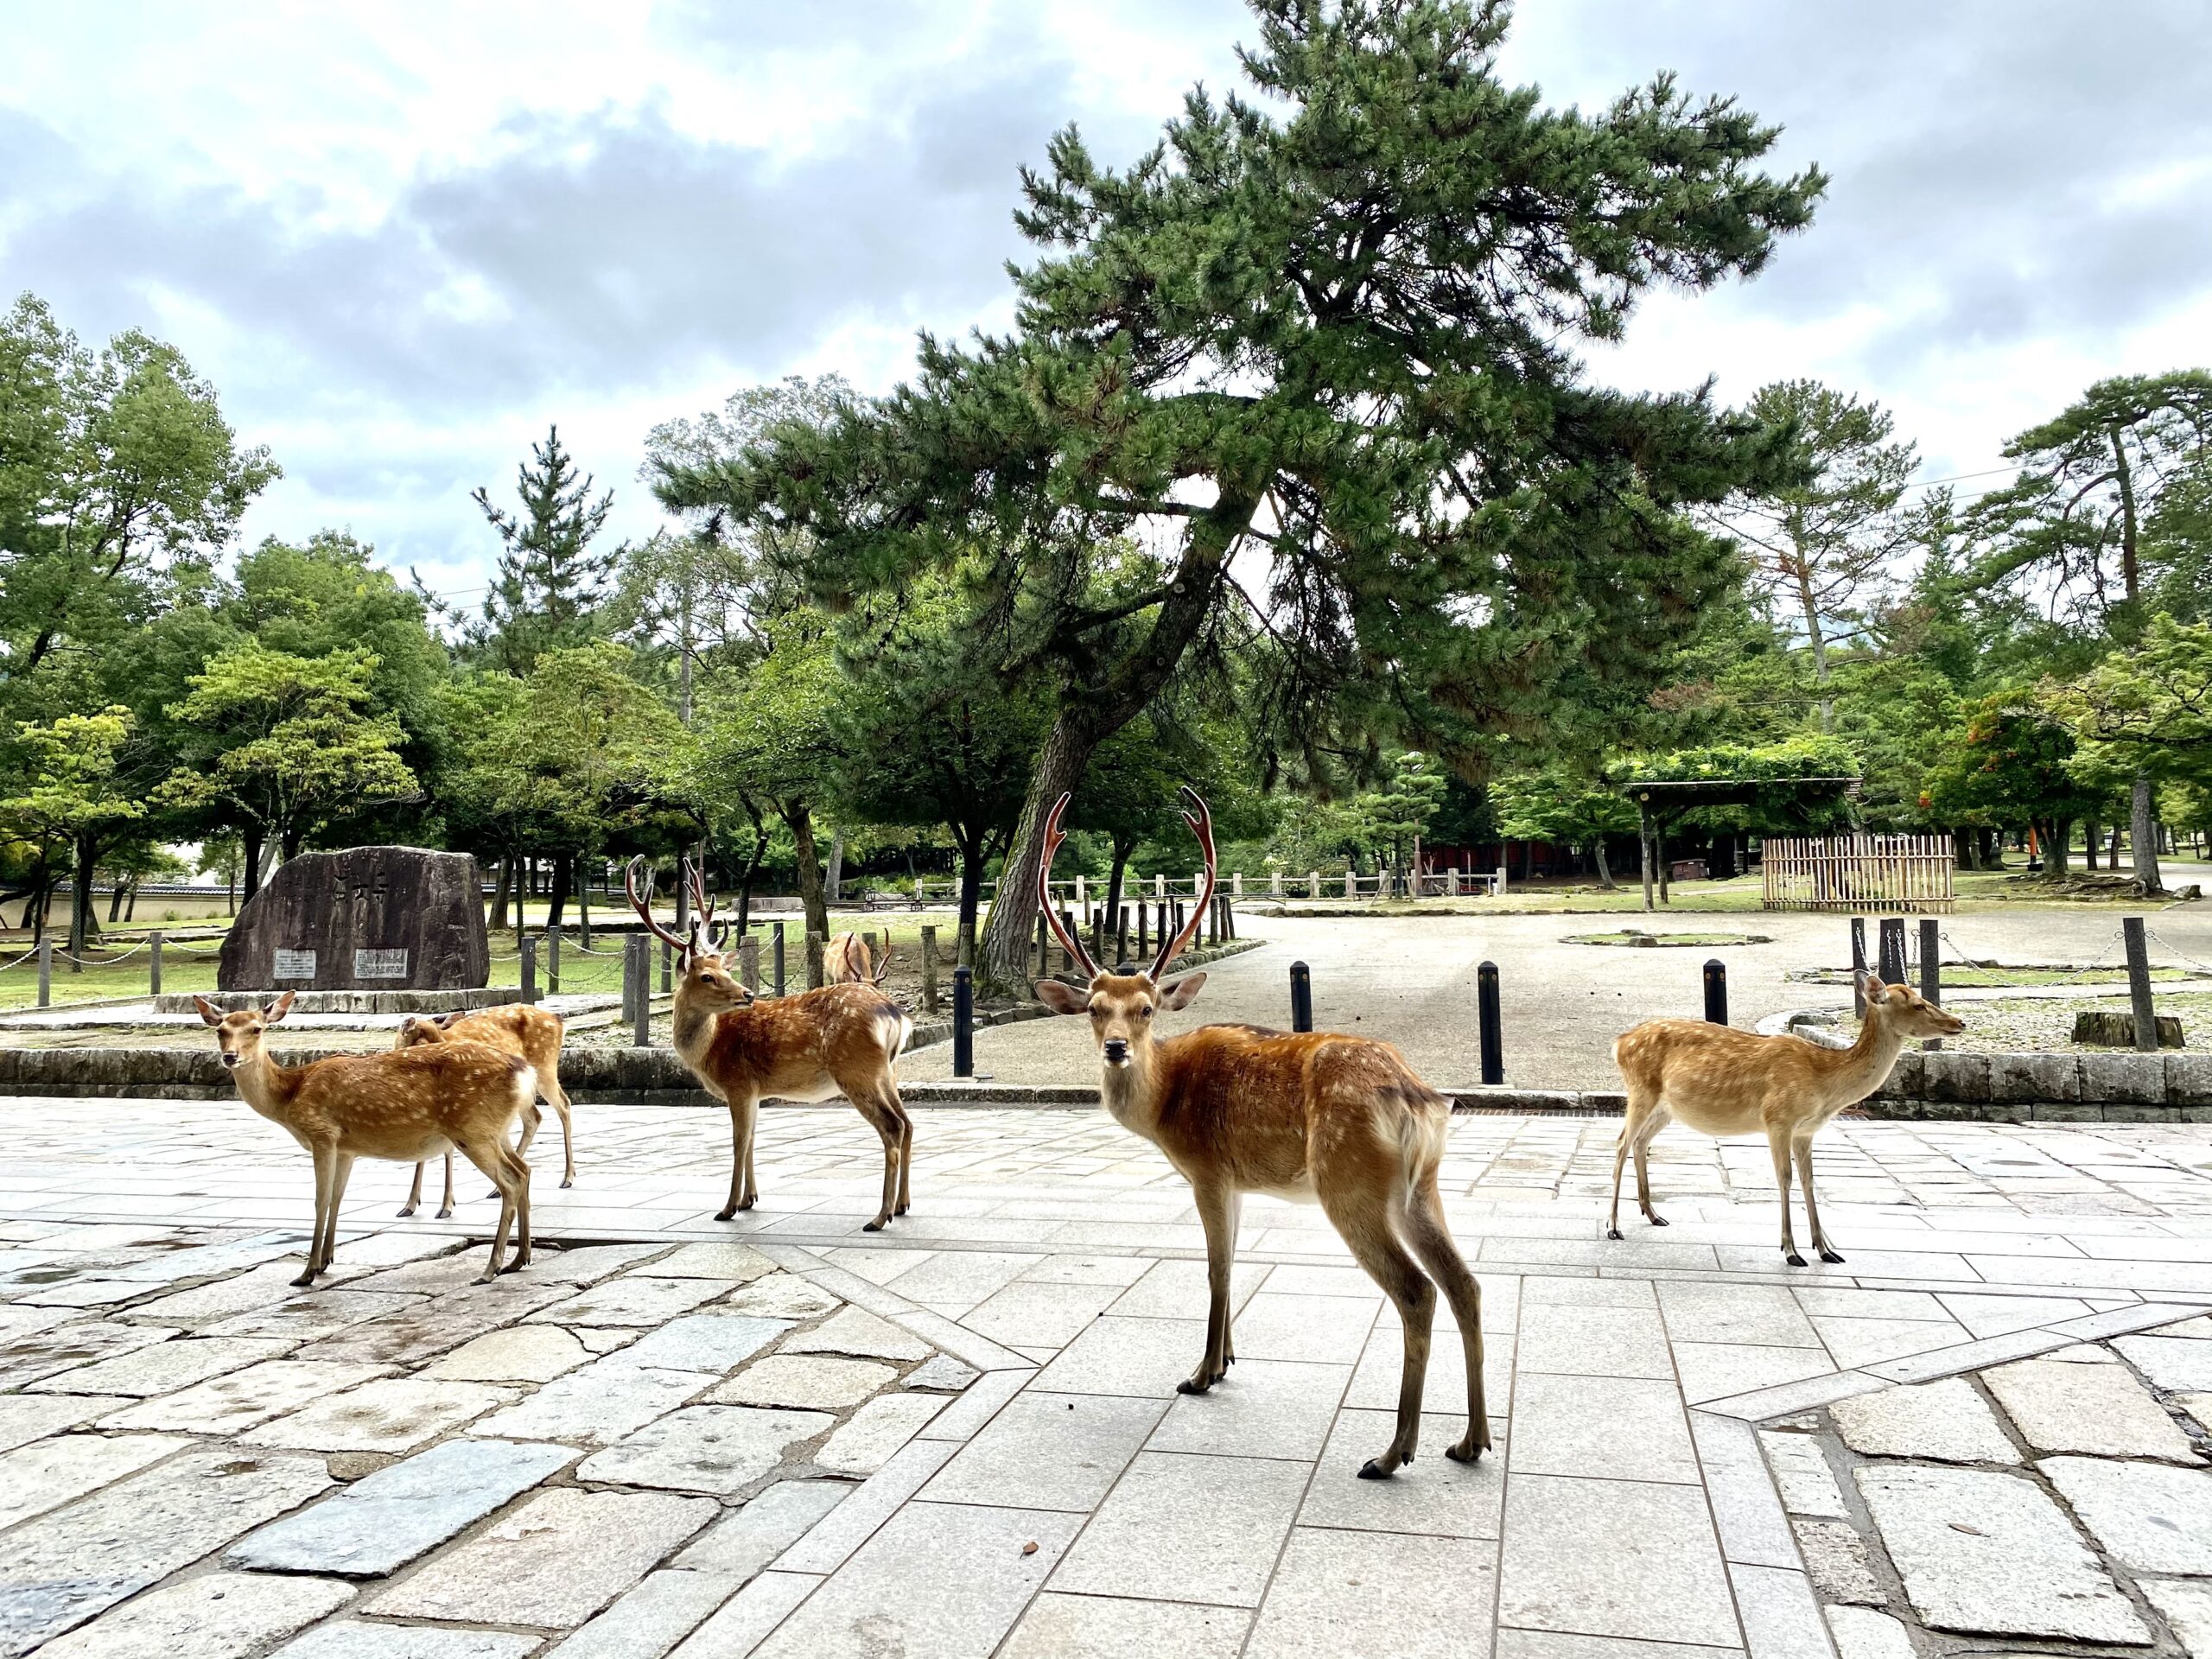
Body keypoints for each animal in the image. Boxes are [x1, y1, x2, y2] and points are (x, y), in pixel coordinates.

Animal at [195, 986, 539, 1282]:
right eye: (220, 1030)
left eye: (257, 1029)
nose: (230, 1056)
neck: (290, 1095)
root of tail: (524, 1072)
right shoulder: (347, 1147)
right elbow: (337, 1198)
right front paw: (326, 1261)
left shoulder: (322, 1134)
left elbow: (320, 1200)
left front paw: (307, 1272)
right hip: (497, 1130)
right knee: (525, 1170)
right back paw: (519, 1258)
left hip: (474, 1128)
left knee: (510, 1180)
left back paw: (491, 1268)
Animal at [393, 1000, 575, 1221]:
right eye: (422, 1043)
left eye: (441, 1039)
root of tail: (559, 1021)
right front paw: (409, 1205)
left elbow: (447, 1150)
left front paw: (446, 1206)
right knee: (534, 1116)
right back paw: (497, 1190)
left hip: (545, 1067)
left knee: (564, 1105)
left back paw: (567, 1178)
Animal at [623, 862, 915, 1230]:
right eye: (708, 975)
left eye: (724, 971)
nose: (747, 994)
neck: (708, 1051)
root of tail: (895, 1015)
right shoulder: (755, 1091)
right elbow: (751, 1140)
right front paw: (749, 1199)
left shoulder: (738, 1083)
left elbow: (738, 1142)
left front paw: (727, 1208)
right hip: (888, 1071)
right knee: (908, 1123)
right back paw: (902, 1205)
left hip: (855, 1069)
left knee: (892, 1126)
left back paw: (880, 1216)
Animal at [1030, 791, 1486, 1478]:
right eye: (1092, 1008)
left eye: (1146, 1009)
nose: (1115, 1048)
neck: (1166, 1104)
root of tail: (1418, 1098)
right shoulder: (1239, 1183)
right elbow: (1235, 1262)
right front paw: (1227, 1359)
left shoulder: (1207, 1170)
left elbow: (1215, 1268)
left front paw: (1200, 1373)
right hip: (1422, 1186)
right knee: (1465, 1284)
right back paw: (1469, 1441)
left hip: (1349, 1184)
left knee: (1416, 1291)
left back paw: (1391, 1453)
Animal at [1618, 973, 1964, 1274]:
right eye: (1917, 1004)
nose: (1959, 1022)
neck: (1824, 1082)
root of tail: (1619, 1043)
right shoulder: (1778, 1119)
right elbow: (1784, 1178)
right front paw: (1791, 1252)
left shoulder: (1806, 1131)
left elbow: (1809, 1180)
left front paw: (1826, 1250)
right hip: (1641, 1090)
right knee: (1622, 1143)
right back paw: (1614, 1227)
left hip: (1667, 1108)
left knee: (1640, 1142)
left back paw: (1653, 1215)